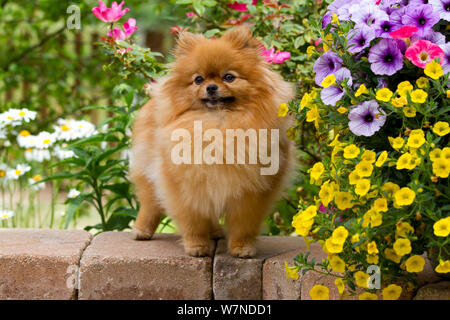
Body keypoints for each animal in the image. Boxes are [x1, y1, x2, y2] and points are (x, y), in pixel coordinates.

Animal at [129, 26, 296, 258]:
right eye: (198, 80)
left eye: (229, 77)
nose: (210, 87)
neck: (218, 124)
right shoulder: (185, 186)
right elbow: (193, 221)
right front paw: (197, 246)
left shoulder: (250, 194)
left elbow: (243, 225)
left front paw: (242, 248)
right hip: (148, 170)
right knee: (150, 203)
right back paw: (141, 231)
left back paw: (216, 232)